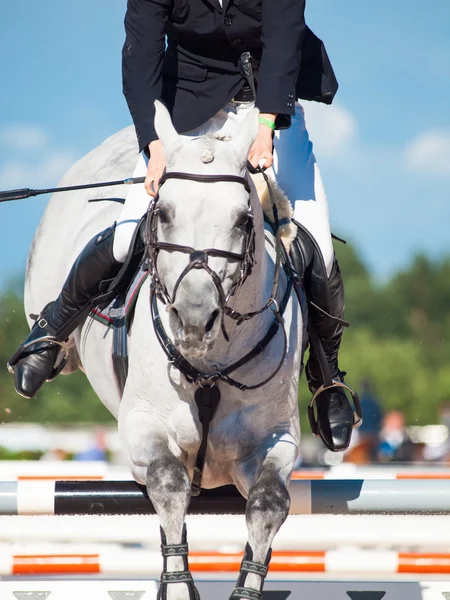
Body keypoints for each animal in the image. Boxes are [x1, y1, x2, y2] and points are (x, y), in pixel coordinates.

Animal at [24, 104, 302, 600]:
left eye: (242, 220)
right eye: (166, 213)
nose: (193, 321)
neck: (209, 360)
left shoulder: (276, 438)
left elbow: (269, 503)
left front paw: (246, 587)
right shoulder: (142, 426)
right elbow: (169, 483)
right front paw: (176, 585)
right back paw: (41, 353)